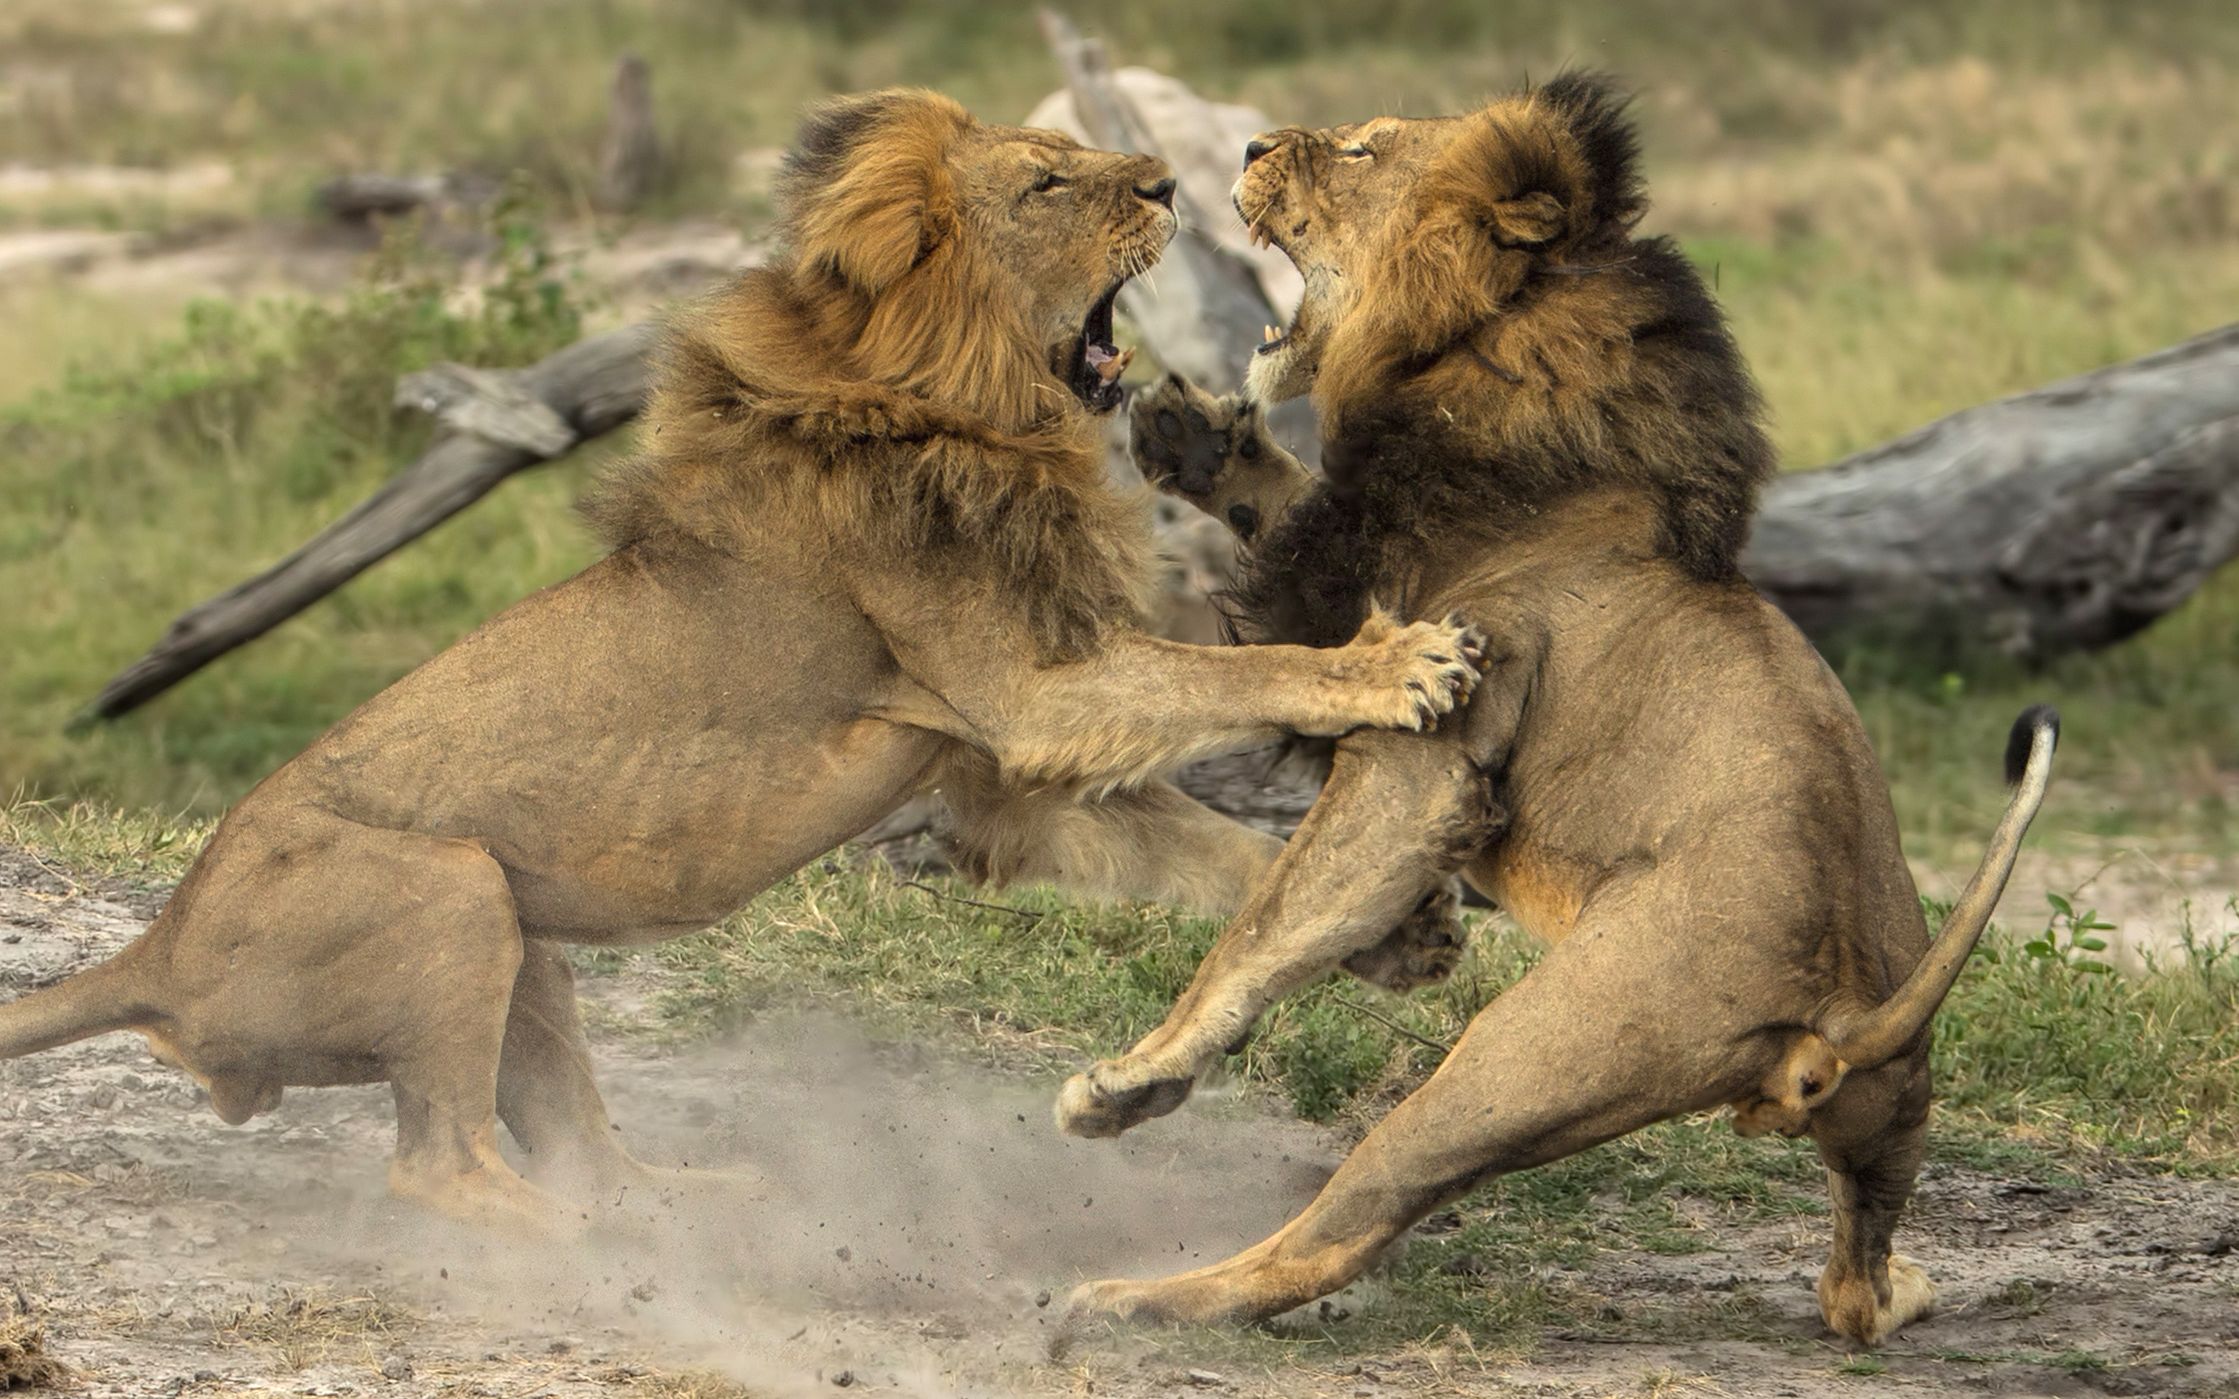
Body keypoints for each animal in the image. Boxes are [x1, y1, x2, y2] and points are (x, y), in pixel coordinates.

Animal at [0, 87, 1486, 1226]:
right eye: (1050, 184)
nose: (1171, 179)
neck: (959, 407)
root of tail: (159, 945)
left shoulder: (993, 773)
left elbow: (1217, 853)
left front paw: (1403, 929)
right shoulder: (1024, 694)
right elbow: (1229, 674)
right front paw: (1400, 662)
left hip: (519, 934)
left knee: (564, 1141)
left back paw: (686, 1201)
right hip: (449, 886)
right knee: (443, 1170)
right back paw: (616, 1252)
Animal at [1056, 73, 2050, 1343]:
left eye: (1364, 148)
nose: (1251, 145)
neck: (1469, 354)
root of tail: (1840, 1013)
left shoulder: (1430, 745)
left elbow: (1266, 929)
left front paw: (1136, 1080)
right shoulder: (1363, 588)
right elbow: (1284, 505)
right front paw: (1191, 434)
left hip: (1518, 1056)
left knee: (1339, 1227)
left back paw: (1129, 1298)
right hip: (1888, 1117)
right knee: (1855, 1286)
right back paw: (1903, 1286)